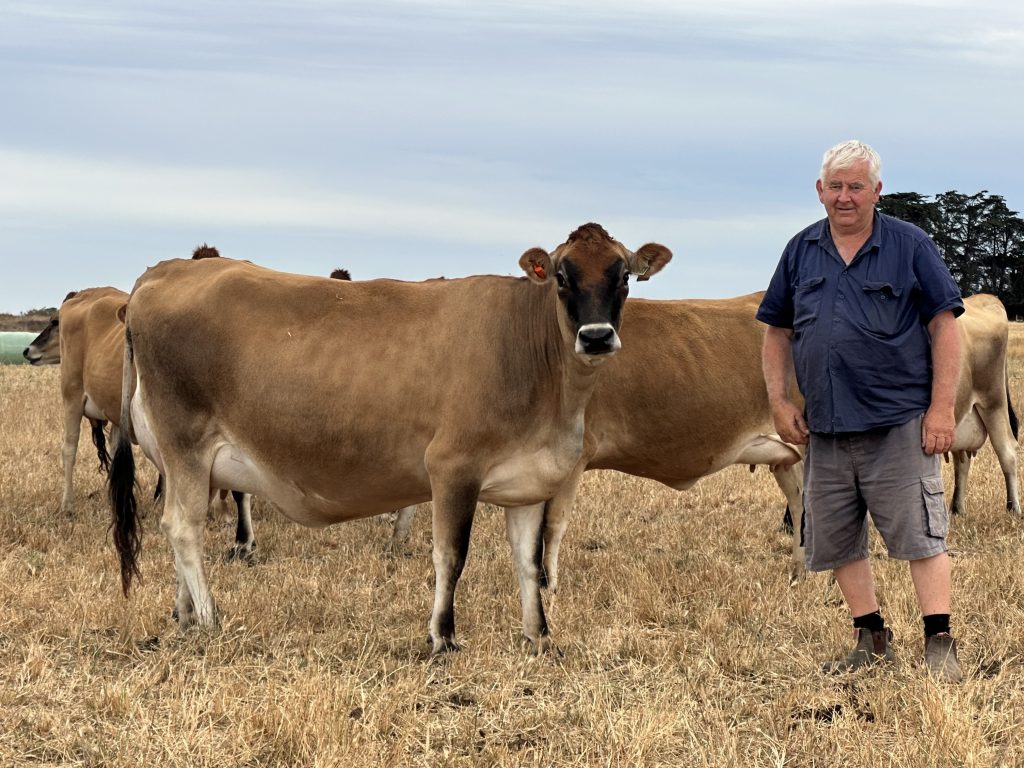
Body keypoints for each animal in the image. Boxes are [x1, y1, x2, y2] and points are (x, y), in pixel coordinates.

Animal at [108, 223, 672, 654]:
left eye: (624, 275)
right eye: (561, 275)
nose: (596, 337)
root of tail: (165, 271)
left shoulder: (530, 481)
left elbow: (528, 564)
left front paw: (539, 636)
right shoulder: (452, 466)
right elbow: (450, 554)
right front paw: (443, 637)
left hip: (187, 459)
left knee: (181, 527)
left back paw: (184, 613)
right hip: (185, 442)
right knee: (183, 527)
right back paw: (209, 616)